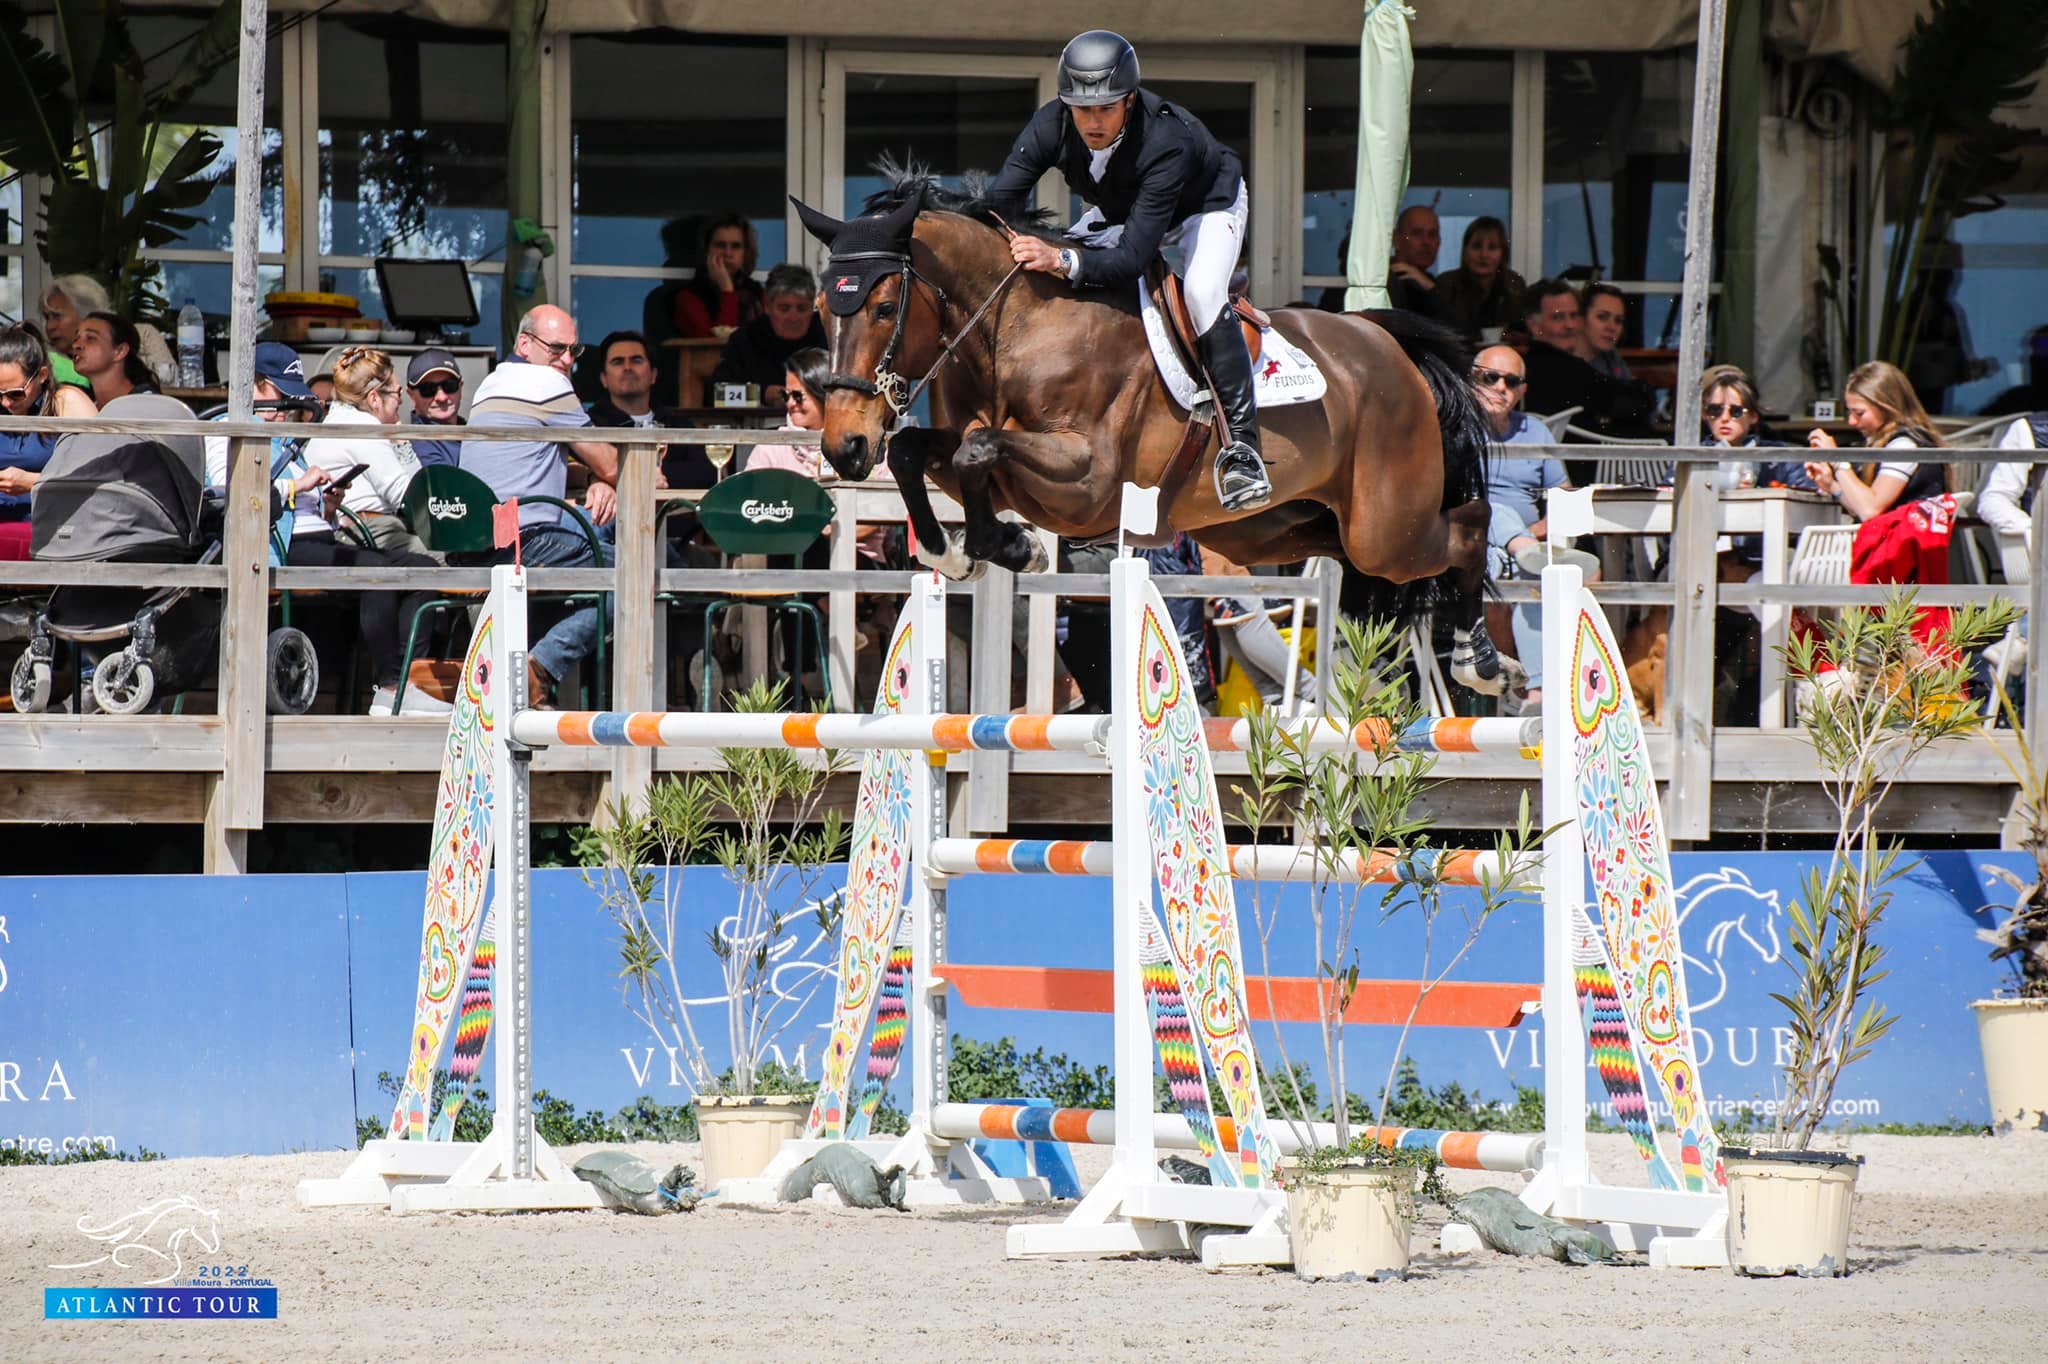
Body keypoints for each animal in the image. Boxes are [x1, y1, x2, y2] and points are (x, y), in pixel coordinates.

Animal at [790, 173, 1499, 675]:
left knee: (1467, 527)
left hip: (1388, 526)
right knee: (1357, 551)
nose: (845, 448)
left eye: (885, 308)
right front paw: (958, 553)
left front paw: (1016, 547)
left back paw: (1480, 660)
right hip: (1277, 529)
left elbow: (977, 451)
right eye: (822, 307)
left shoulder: (1087, 481)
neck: (1012, 326)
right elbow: (916, 451)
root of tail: (1387, 344)